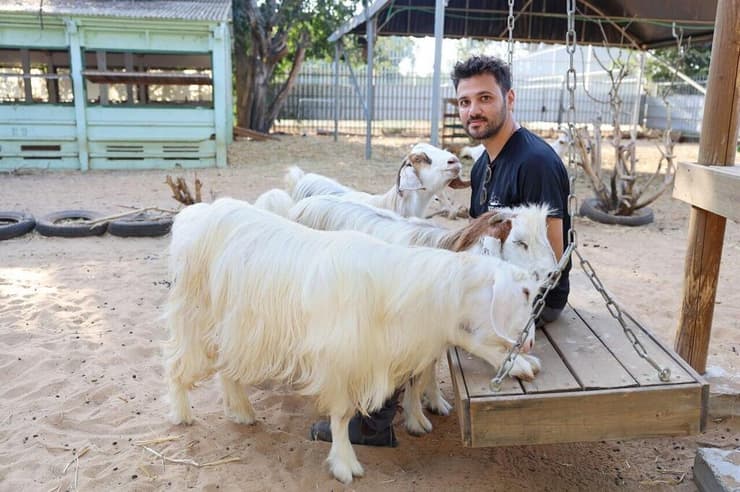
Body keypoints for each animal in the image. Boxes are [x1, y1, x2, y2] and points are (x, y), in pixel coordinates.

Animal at [290, 194, 556, 432]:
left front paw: (435, 402)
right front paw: (416, 419)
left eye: (545, 237)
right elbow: (415, 372)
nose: (553, 273)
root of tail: (304, 203)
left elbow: (431, 362)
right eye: (520, 242)